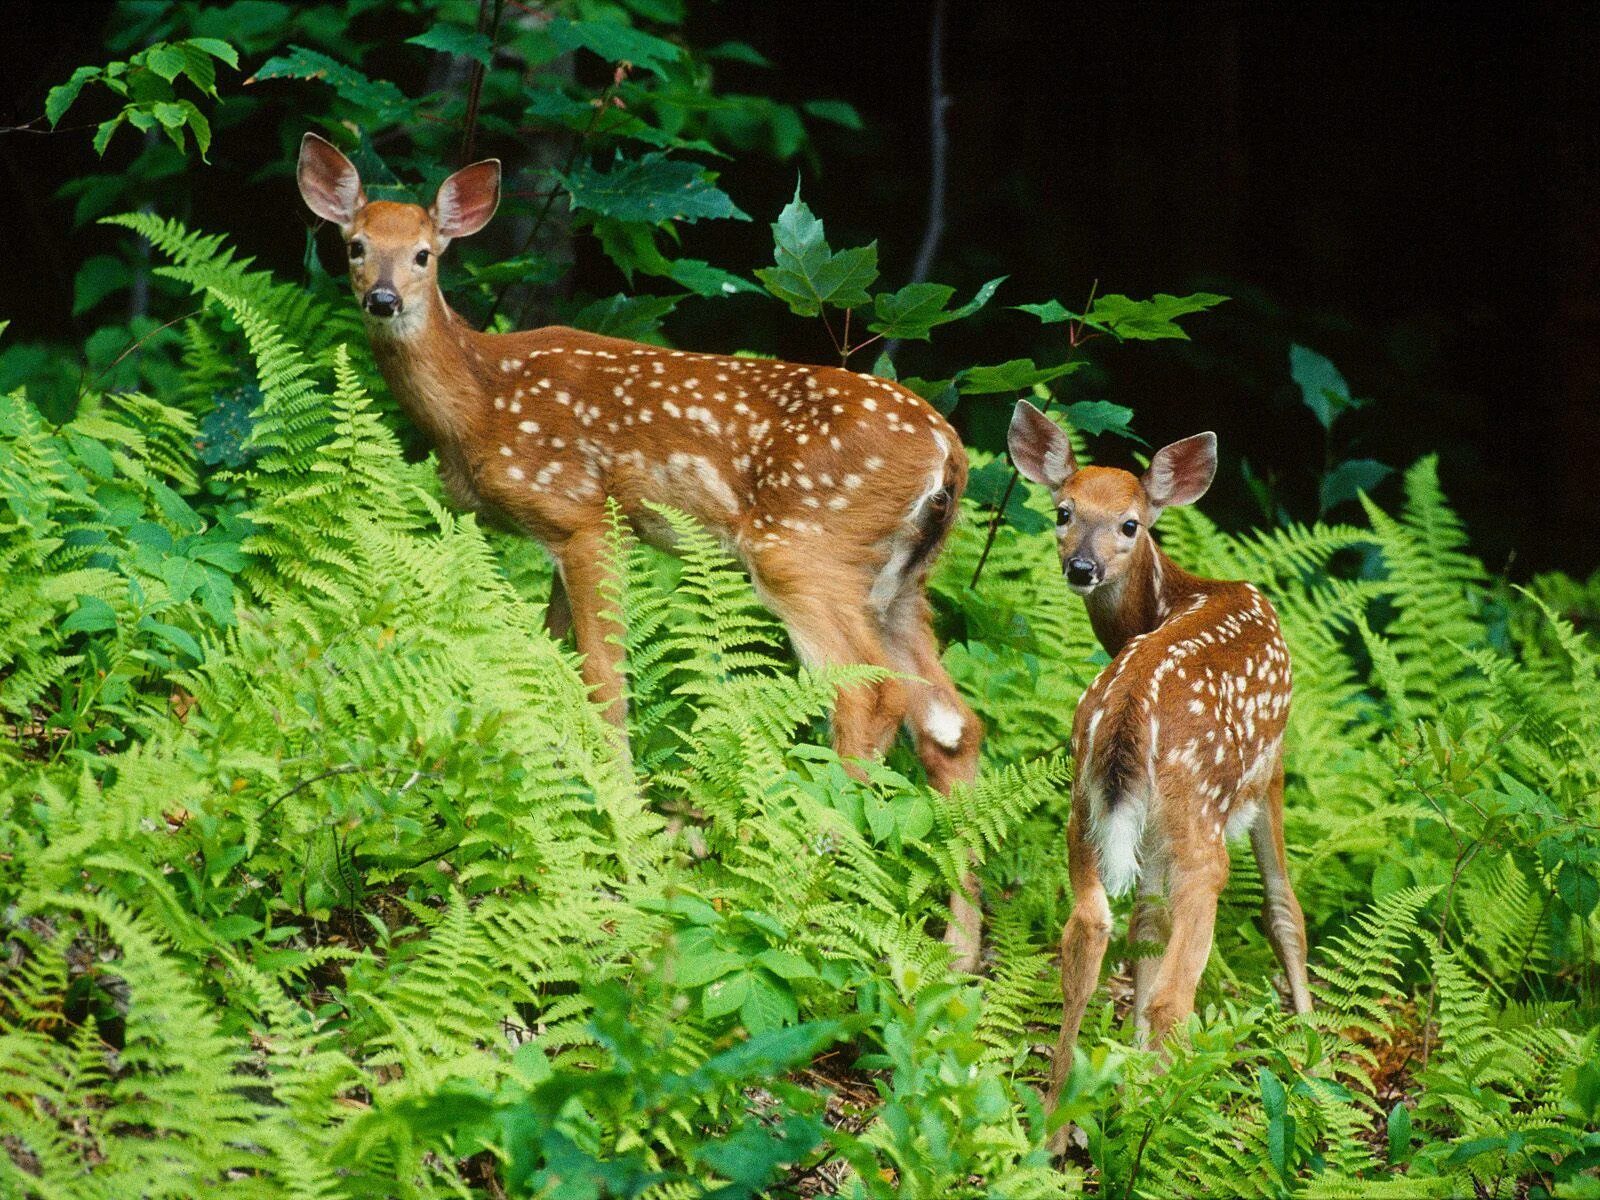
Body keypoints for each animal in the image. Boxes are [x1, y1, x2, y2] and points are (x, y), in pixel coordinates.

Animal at [294, 131, 979, 966]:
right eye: (355, 245)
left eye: (425, 254)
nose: (383, 299)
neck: (481, 401)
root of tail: (948, 452)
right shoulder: (552, 540)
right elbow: (542, 671)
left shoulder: (587, 516)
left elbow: (602, 685)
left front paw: (625, 843)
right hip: (902, 581)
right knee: (951, 725)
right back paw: (959, 955)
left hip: (804, 545)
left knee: (868, 694)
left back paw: (807, 888)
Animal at [1011, 401, 1312, 1126]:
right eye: (1062, 510)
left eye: (1130, 523)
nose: (1081, 567)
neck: (1177, 595)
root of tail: (1126, 712)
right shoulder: (1273, 764)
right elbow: (1285, 911)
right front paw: (1317, 1062)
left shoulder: (1139, 827)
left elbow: (1143, 927)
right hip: (1200, 815)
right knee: (1178, 990)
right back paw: (1153, 1122)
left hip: (1084, 803)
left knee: (1089, 933)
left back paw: (1055, 1127)